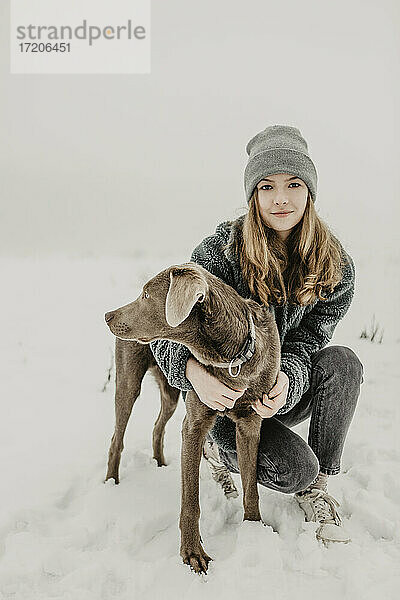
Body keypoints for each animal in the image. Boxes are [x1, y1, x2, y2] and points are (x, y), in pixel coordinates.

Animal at [103, 262, 280, 572]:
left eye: (146, 295)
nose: (107, 316)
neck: (231, 358)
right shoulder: (194, 425)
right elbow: (190, 500)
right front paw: (192, 553)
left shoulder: (250, 424)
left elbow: (251, 487)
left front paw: (254, 528)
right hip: (128, 384)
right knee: (117, 439)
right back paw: (113, 484)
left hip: (172, 393)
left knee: (157, 427)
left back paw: (160, 463)